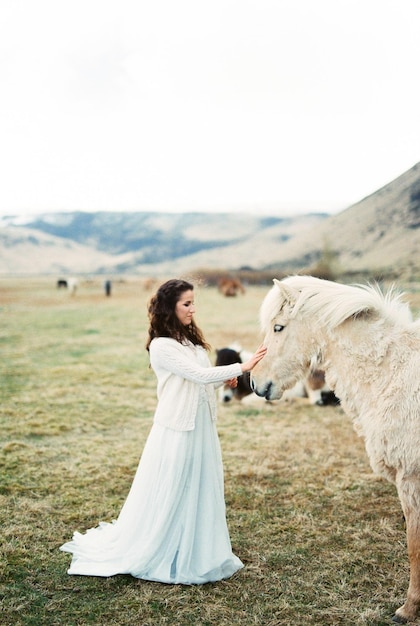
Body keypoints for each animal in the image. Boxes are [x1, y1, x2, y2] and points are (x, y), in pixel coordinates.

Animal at [251, 276, 420, 620]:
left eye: (278, 327)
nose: (254, 381)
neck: (392, 372)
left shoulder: (410, 480)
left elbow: (414, 546)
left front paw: (408, 609)